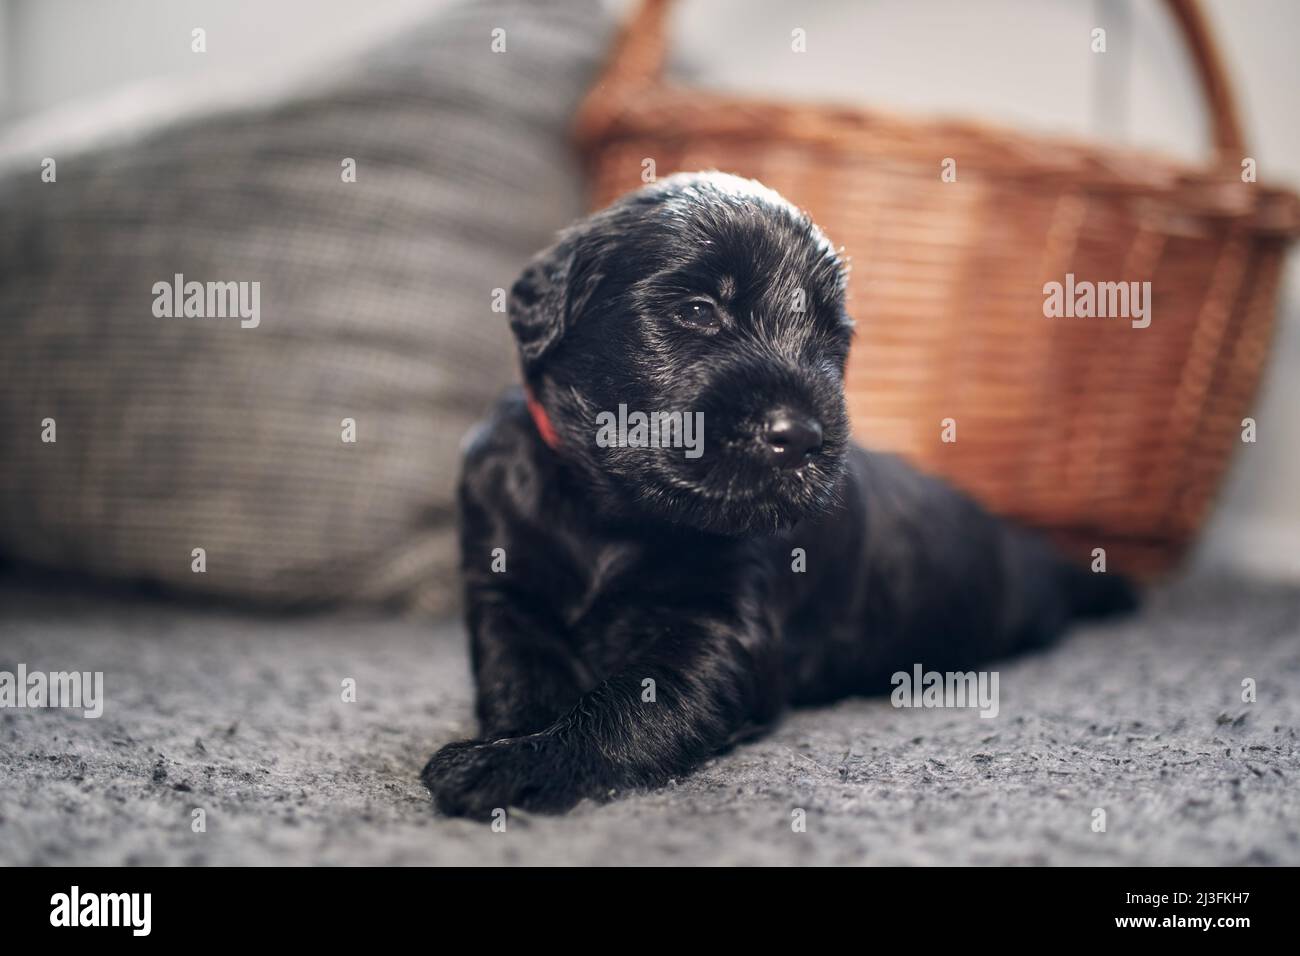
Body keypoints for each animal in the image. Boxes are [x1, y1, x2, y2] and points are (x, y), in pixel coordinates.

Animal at [421, 170, 1133, 816]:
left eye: (833, 339)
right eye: (697, 310)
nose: (802, 437)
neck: (611, 515)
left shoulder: (718, 630)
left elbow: (623, 708)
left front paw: (514, 765)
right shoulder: (505, 589)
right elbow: (519, 672)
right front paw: (513, 740)